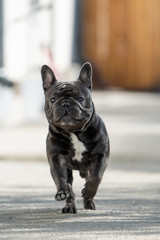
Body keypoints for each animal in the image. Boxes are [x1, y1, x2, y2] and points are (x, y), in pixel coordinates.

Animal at [40, 62, 109, 214]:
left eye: (80, 99)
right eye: (53, 99)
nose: (65, 103)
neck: (74, 132)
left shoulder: (101, 156)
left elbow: (96, 177)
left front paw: (88, 192)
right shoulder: (57, 159)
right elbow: (60, 178)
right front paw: (61, 192)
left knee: (89, 179)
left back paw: (89, 202)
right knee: (70, 190)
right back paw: (69, 206)